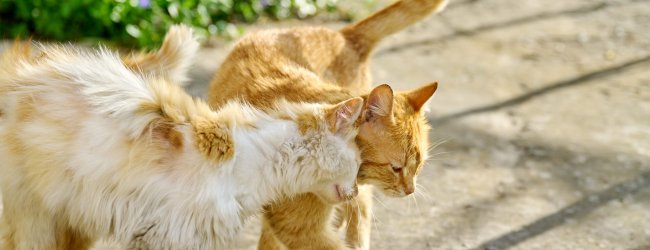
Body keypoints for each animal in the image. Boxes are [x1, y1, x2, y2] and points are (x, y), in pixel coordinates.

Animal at [0, 38, 362, 248]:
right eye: (359, 164)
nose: (357, 190)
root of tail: (24, 67)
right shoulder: (174, 235)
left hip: (75, 218)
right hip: (34, 217)